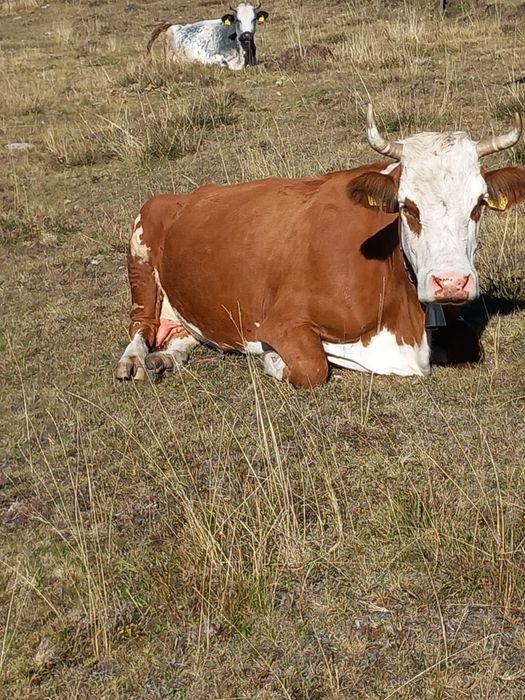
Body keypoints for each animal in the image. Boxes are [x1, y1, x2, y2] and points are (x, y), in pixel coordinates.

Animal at [116, 105, 525, 388]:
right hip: (141, 248)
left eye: (479, 204)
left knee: (179, 336)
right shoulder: (280, 321)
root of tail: (188, 194)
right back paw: (136, 362)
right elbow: (313, 366)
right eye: (407, 206)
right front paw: (275, 361)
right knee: (141, 325)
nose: (451, 283)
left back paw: (163, 360)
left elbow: (467, 346)